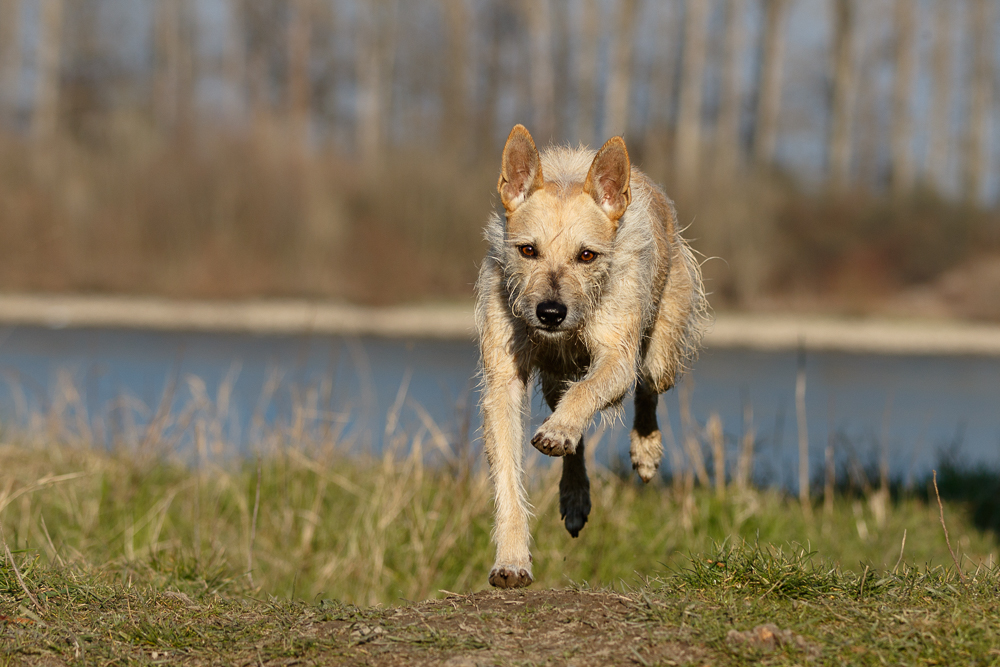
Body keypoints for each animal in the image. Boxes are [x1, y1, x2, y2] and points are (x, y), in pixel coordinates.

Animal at [472, 122, 708, 588]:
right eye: (527, 250)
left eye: (586, 255)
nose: (550, 312)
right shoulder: (503, 381)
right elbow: (507, 476)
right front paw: (512, 559)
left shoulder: (616, 358)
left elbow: (589, 392)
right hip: (555, 378)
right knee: (572, 423)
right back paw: (574, 493)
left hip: (660, 351)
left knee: (647, 386)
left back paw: (645, 450)